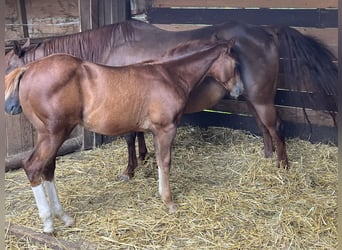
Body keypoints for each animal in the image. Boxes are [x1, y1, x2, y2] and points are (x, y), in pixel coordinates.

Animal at [4, 19, 336, 174]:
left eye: (10, 68)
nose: (10, 107)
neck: (112, 46)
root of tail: (267, 31)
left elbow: (128, 137)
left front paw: (131, 169)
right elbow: (137, 134)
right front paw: (143, 156)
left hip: (262, 98)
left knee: (276, 126)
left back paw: (283, 166)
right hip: (252, 98)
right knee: (264, 127)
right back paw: (268, 157)